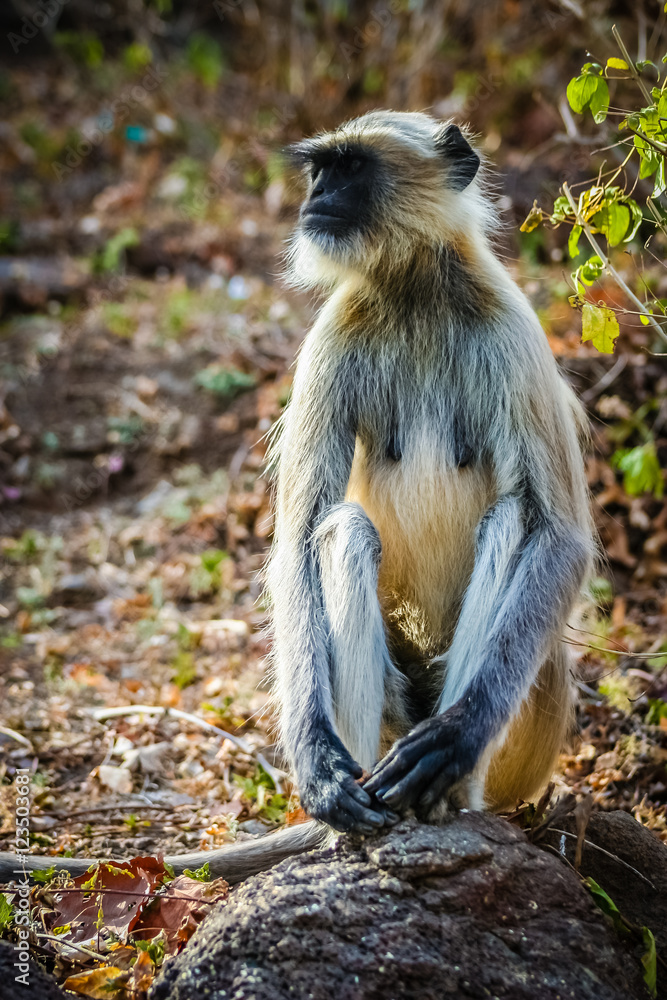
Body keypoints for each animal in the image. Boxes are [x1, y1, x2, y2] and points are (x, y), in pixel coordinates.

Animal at [0, 110, 594, 886]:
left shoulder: (514, 330)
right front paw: (315, 762)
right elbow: (300, 536)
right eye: (319, 169)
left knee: (512, 521)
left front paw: (456, 738)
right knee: (343, 530)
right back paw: (356, 817)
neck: (412, 289)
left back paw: (444, 796)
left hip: (532, 727)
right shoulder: (333, 336)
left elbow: (560, 537)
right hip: (391, 724)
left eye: (350, 169)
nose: (315, 198)